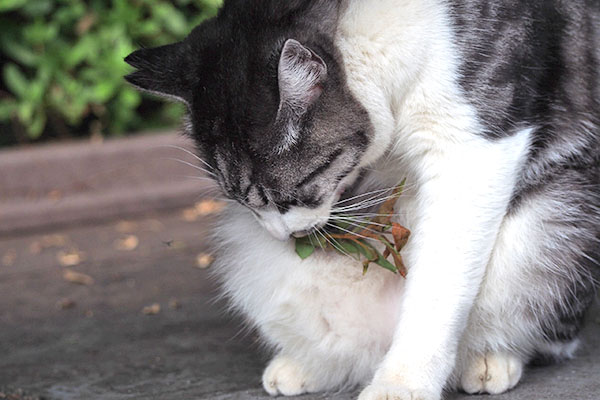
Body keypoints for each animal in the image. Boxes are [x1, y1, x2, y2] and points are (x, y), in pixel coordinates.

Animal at [124, 0, 596, 400]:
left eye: (300, 187)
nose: (282, 236)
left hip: (547, 230)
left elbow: (438, 290)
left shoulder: (471, 148)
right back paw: (305, 366)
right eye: (241, 202)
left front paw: (402, 383)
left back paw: (488, 359)